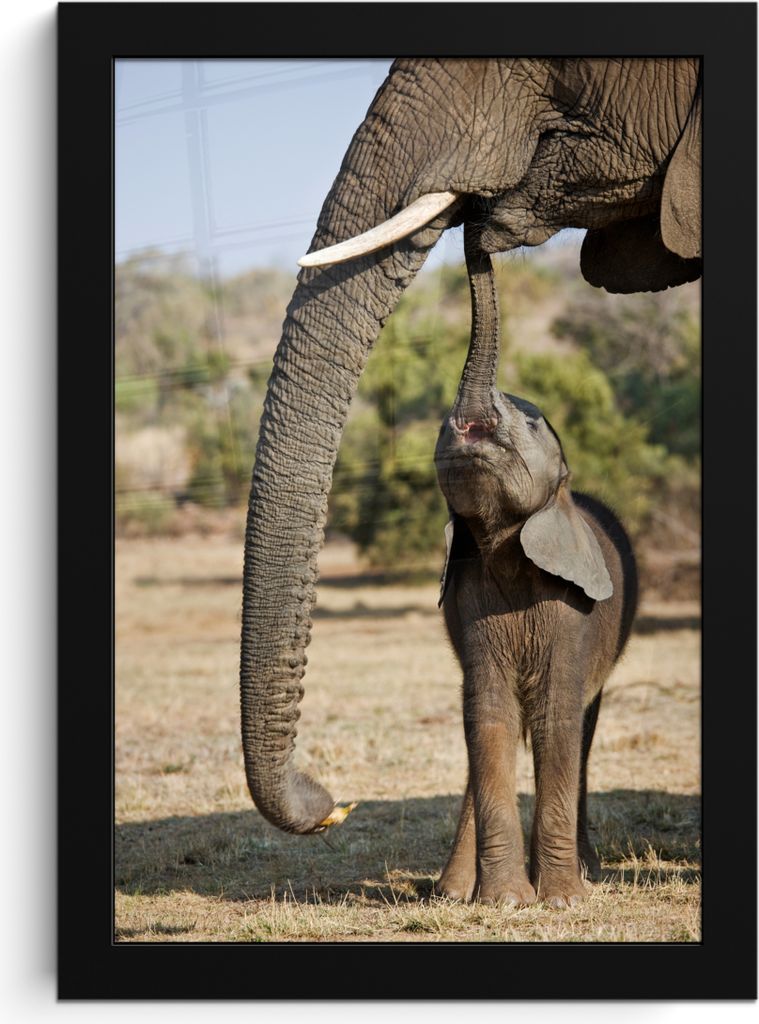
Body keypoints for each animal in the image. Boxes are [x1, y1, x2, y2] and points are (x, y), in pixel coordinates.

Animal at [432, 222, 638, 907]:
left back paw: (586, 872)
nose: (475, 234)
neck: (506, 544)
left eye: (531, 424)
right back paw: (450, 890)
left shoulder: (573, 612)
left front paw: (564, 899)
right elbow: (489, 714)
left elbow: (555, 717)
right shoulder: (470, 600)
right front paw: (503, 901)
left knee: (581, 727)